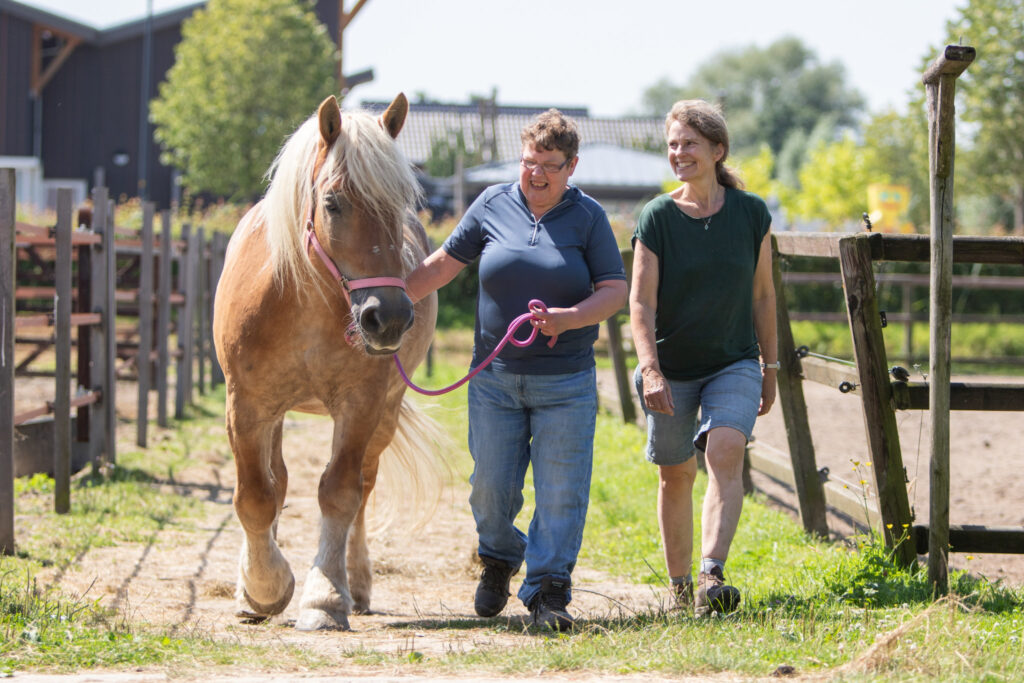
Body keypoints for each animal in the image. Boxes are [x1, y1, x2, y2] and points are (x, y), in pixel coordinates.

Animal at [212, 93, 439, 631]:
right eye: (334, 204)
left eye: (400, 205)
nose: (389, 317)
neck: (305, 303)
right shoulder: (246, 406)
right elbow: (255, 495)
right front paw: (262, 589)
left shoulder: (361, 405)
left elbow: (339, 492)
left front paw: (325, 597)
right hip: (273, 415)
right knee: (276, 480)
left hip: (386, 414)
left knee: (363, 486)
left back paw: (356, 583)